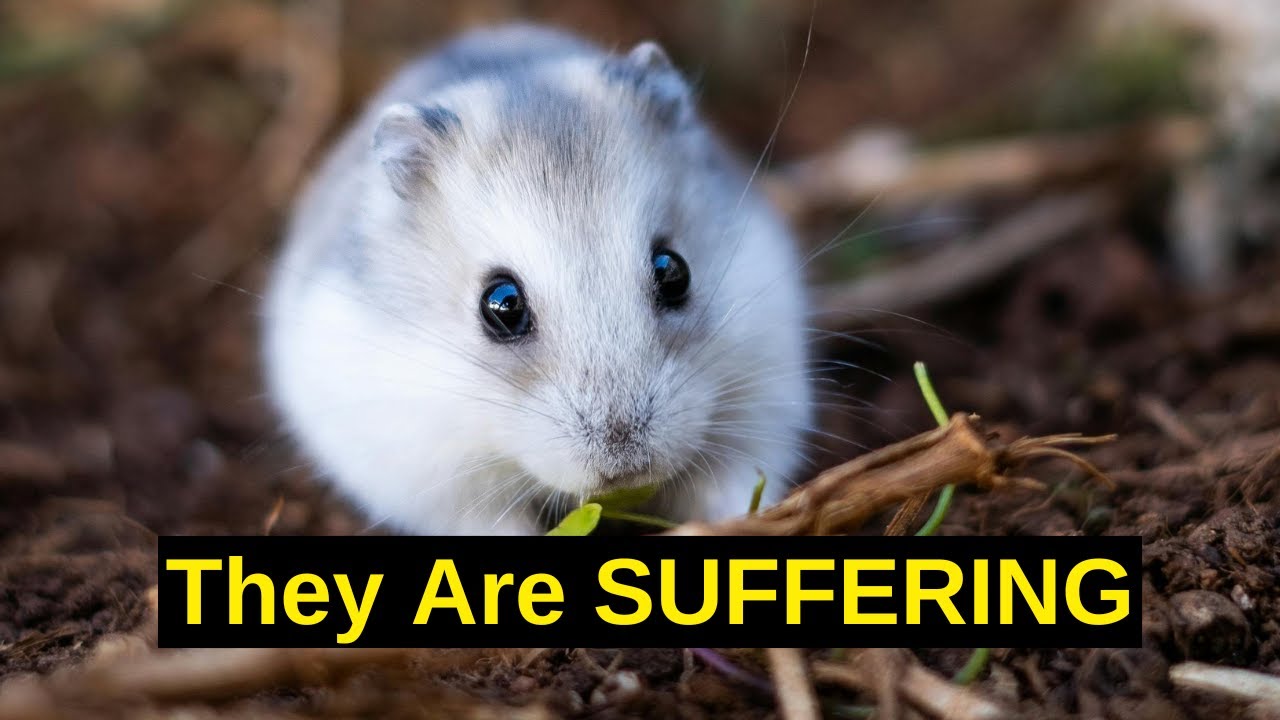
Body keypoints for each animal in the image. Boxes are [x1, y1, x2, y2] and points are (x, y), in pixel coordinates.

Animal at [262, 24, 812, 535]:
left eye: (673, 271)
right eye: (501, 304)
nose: (627, 463)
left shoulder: (761, 402)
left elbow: (731, 485)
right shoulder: (433, 479)